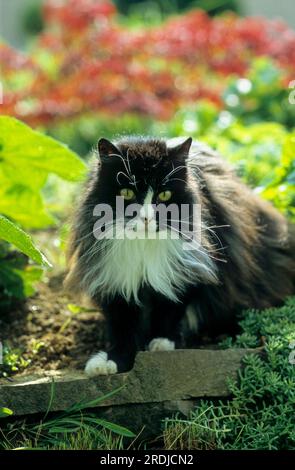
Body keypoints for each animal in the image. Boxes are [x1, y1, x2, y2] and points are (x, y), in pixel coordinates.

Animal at [65, 135, 295, 374]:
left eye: (164, 194)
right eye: (127, 193)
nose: (147, 218)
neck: (143, 246)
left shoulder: (187, 268)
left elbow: (172, 306)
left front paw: (162, 342)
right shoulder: (115, 277)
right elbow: (122, 327)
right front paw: (111, 361)